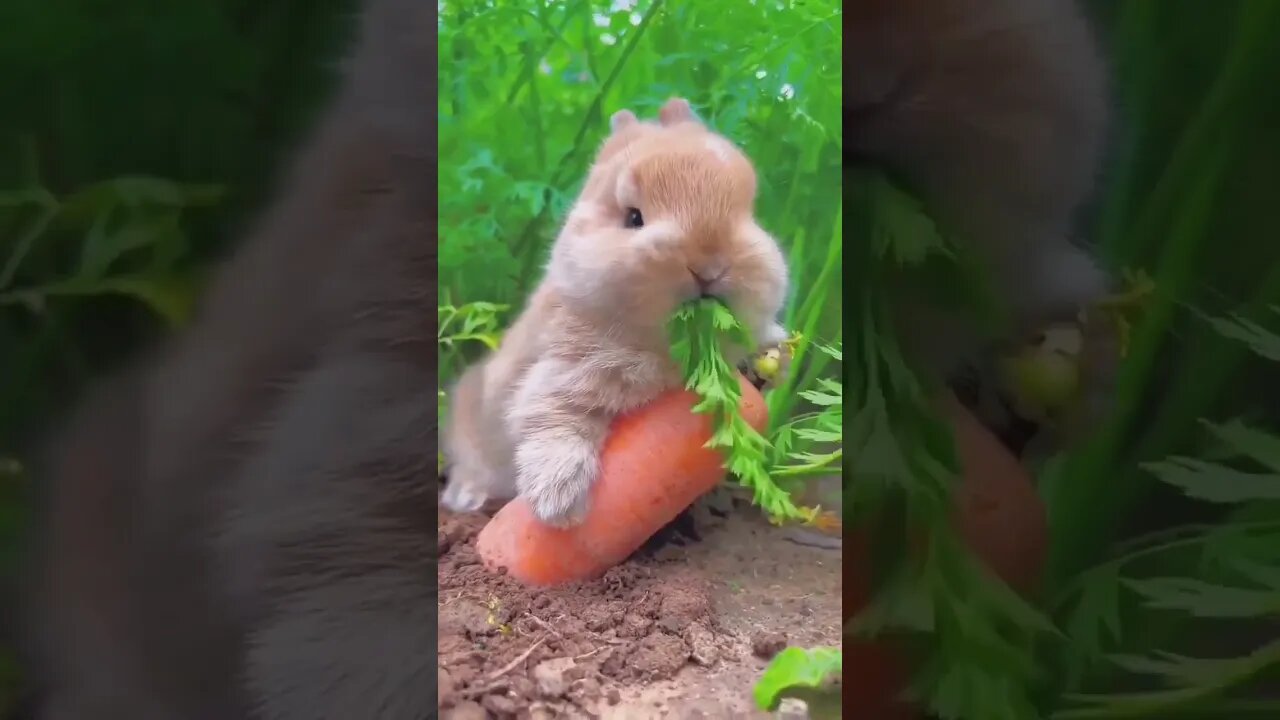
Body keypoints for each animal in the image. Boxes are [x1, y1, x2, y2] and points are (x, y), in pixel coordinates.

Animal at [440, 98, 788, 525]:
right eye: (633, 217)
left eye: (748, 213)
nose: (709, 265)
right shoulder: (561, 377)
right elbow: (553, 422)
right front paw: (558, 503)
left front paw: (773, 357)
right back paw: (466, 498)